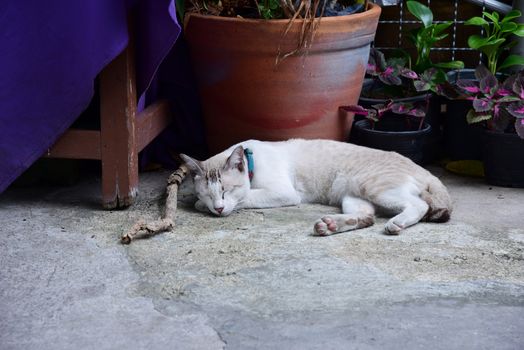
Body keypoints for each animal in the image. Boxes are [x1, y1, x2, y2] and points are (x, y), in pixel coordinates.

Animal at [180, 139, 450, 235]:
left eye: (226, 190)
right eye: (208, 193)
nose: (217, 208)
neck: (251, 157)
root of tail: (423, 169)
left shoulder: (282, 193)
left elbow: (245, 197)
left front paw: (213, 207)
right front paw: (204, 205)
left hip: (374, 188)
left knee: (419, 205)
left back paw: (397, 224)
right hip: (352, 195)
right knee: (366, 217)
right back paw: (329, 226)